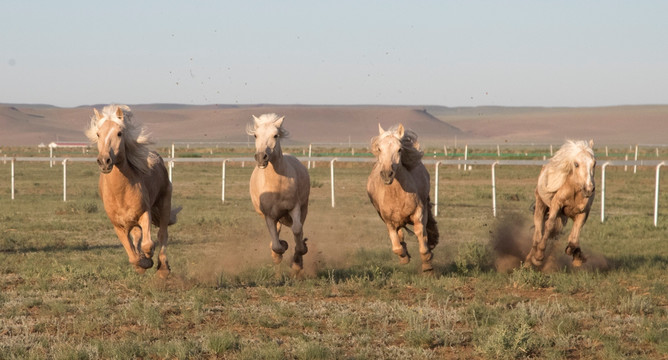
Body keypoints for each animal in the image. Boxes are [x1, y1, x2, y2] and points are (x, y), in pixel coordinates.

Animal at [86, 104, 180, 278]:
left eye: (119, 133)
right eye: (98, 134)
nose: (104, 161)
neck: (120, 194)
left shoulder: (145, 214)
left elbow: (148, 244)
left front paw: (149, 258)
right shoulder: (118, 226)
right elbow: (132, 255)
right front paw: (142, 263)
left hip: (164, 203)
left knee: (162, 234)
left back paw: (163, 268)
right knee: (137, 236)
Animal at [248, 114, 310, 272]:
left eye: (275, 135)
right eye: (256, 135)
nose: (261, 157)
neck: (276, 185)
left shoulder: (294, 207)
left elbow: (297, 230)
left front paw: (299, 254)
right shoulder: (269, 215)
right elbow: (276, 243)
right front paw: (280, 251)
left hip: (304, 208)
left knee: (299, 229)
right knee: (276, 232)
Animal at [366, 122, 438, 272]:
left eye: (399, 149)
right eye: (379, 149)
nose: (387, 174)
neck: (397, 195)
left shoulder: (418, 213)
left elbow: (421, 237)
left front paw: (427, 264)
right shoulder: (389, 221)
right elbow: (396, 246)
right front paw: (404, 257)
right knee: (400, 234)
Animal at [528, 139, 596, 268]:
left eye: (594, 163)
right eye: (576, 164)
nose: (589, 189)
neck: (574, 191)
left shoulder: (583, 212)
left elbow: (574, 236)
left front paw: (577, 255)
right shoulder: (556, 204)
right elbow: (549, 226)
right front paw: (538, 256)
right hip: (540, 205)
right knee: (538, 234)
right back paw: (529, 260)